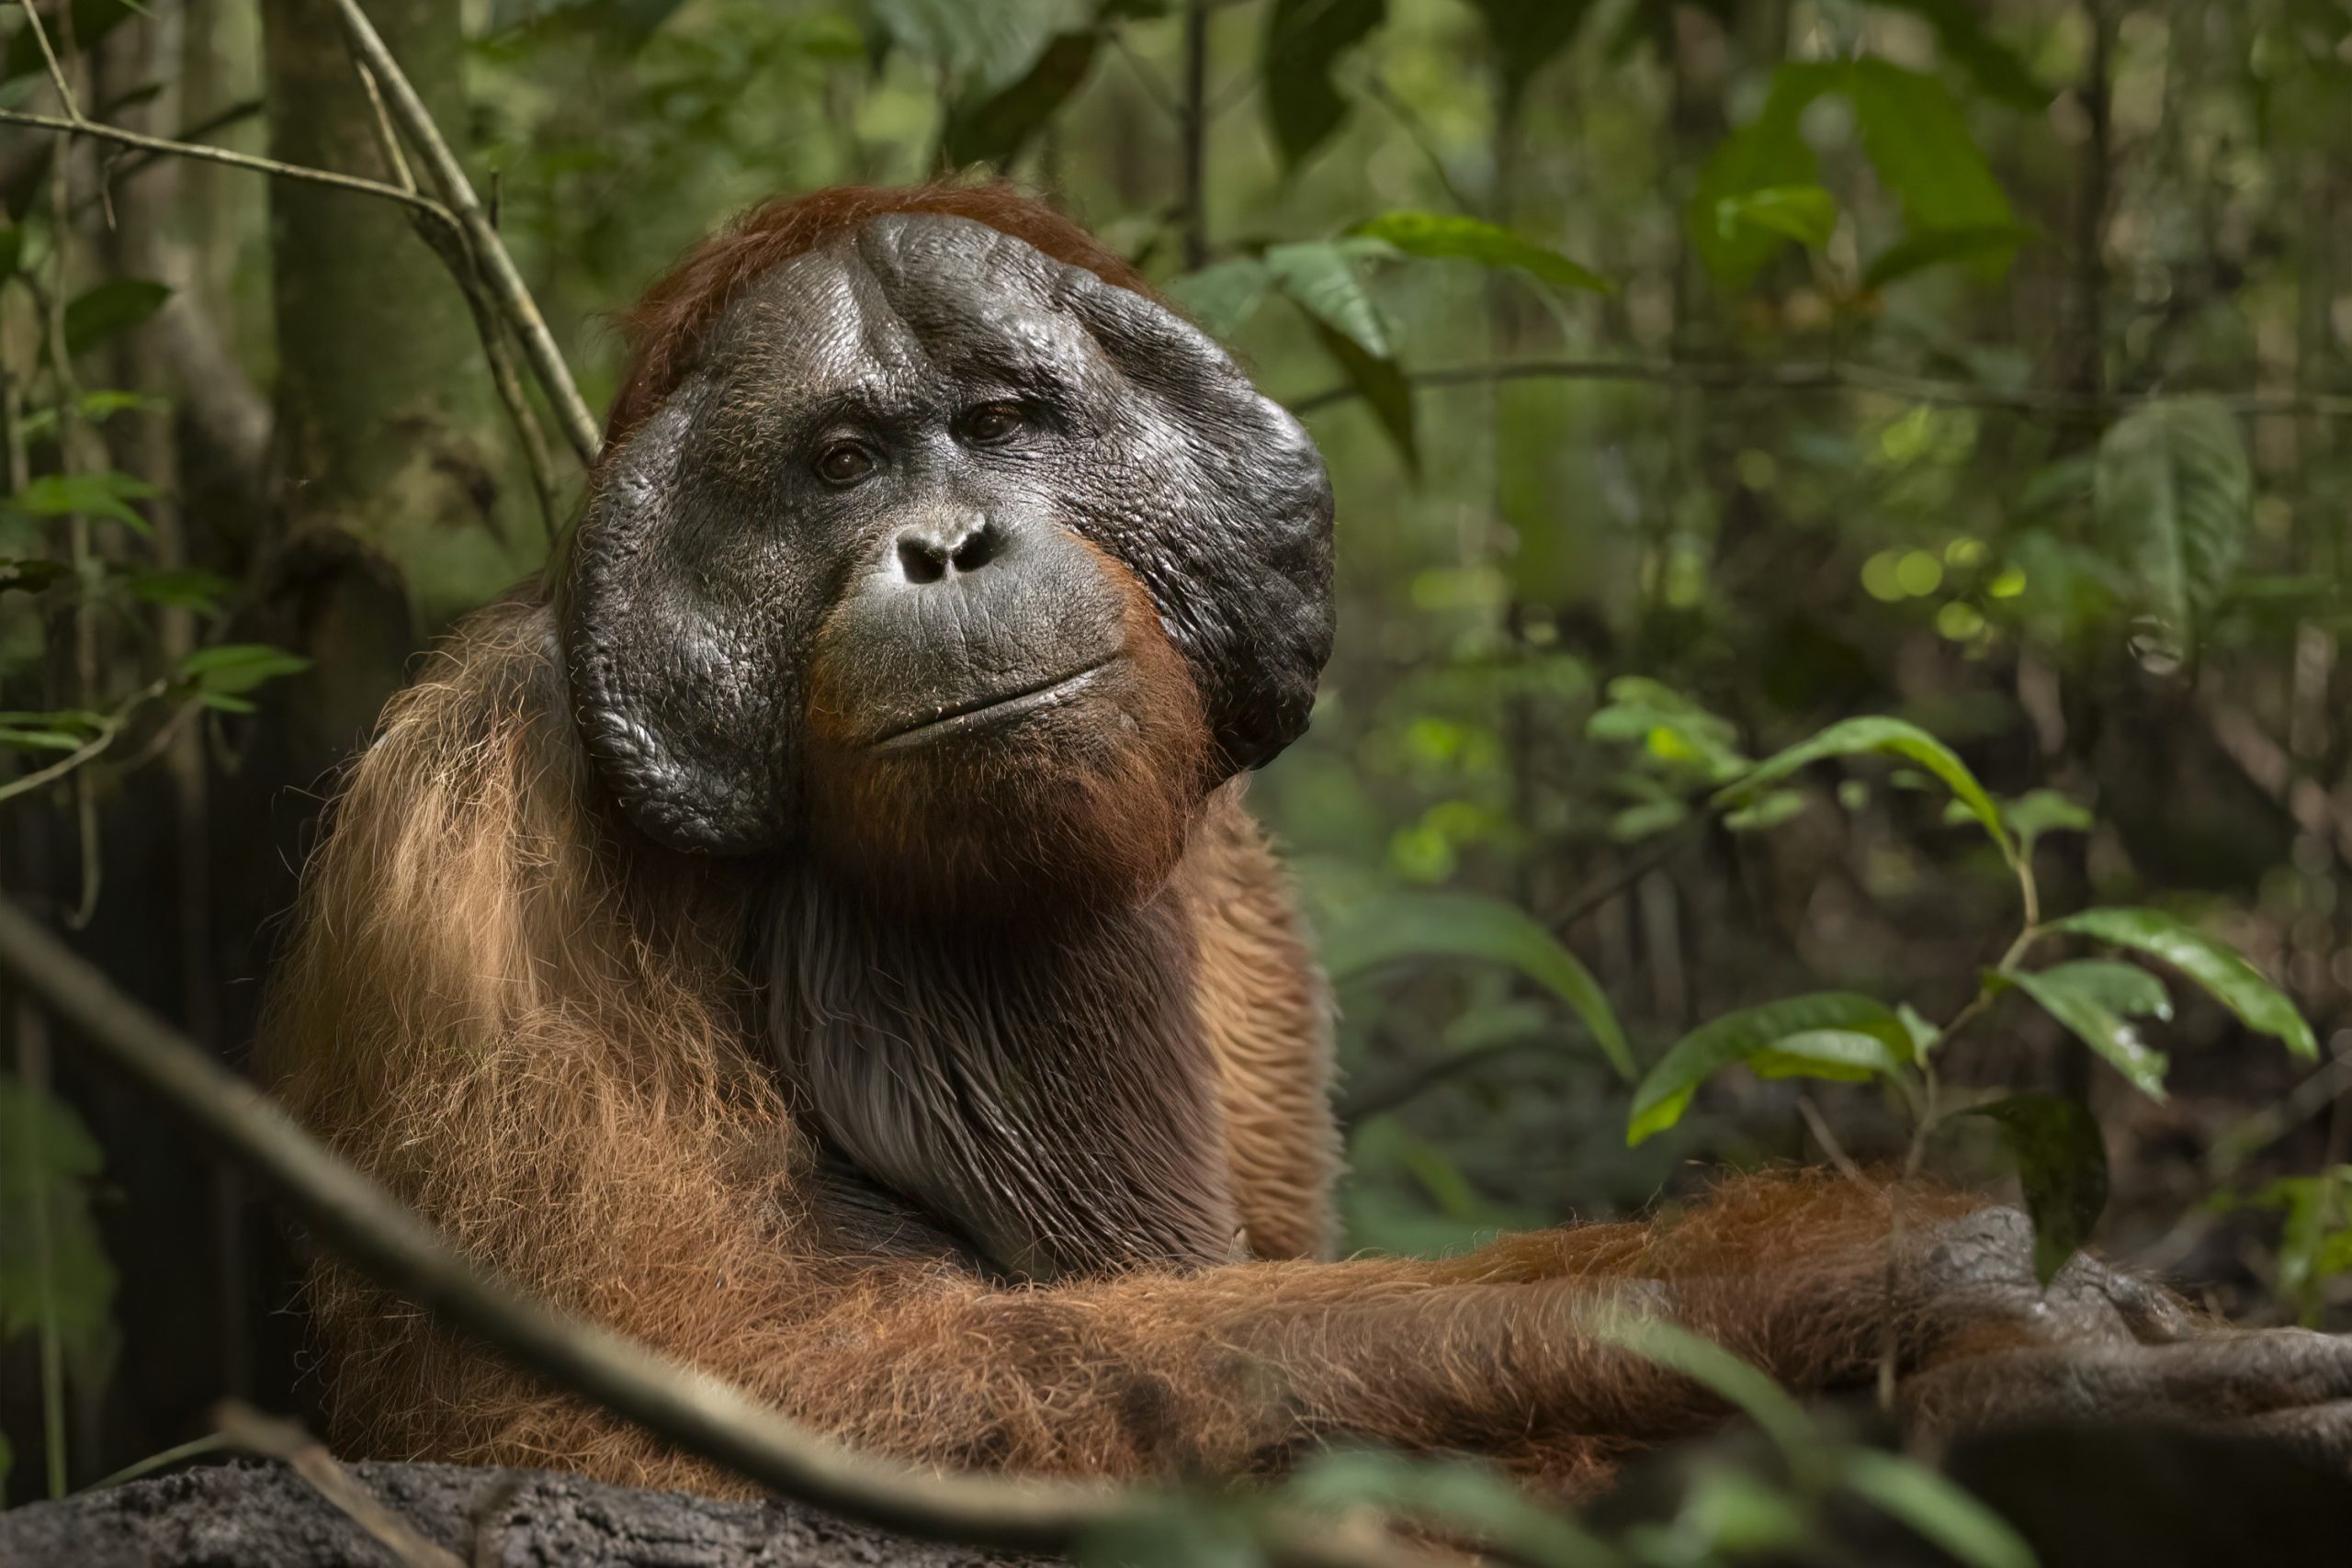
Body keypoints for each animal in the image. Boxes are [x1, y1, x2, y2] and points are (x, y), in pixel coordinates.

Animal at [260, 183, 2352, 1498]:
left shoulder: (1243, 880)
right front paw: (1914, 1297)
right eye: (843, 464)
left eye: (1002, 422)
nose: (946, 544)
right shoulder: (482, 839)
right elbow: (741, 1383)